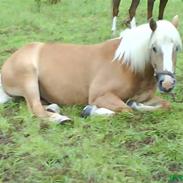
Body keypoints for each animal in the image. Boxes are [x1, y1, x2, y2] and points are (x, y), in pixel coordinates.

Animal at [0, 15, 182, 123]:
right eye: (154, 48)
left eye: (177, 48)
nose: (167, 84)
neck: (128, 66)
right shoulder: (100, 95)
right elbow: (126, 109)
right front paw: (90, 110)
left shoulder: (146, 98)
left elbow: (165, 105)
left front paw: (136, 104)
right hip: (28, 79)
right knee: (36, 108)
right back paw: (61, 119)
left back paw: (54, 108)